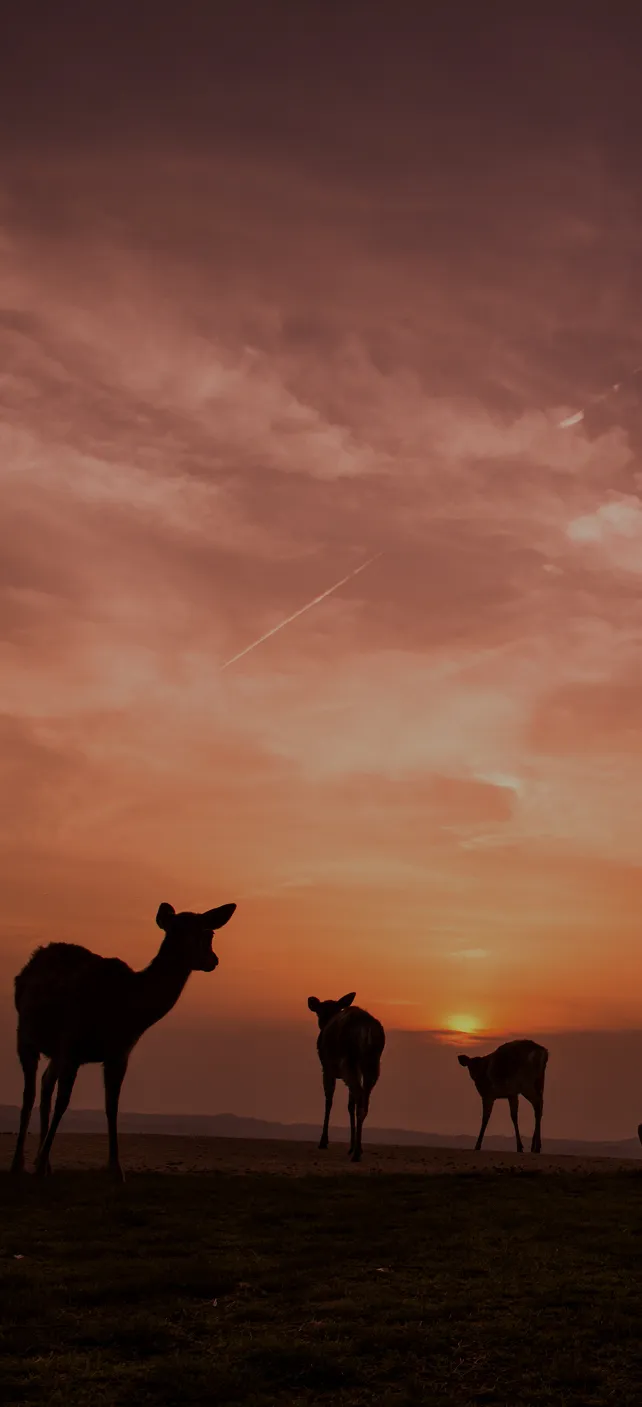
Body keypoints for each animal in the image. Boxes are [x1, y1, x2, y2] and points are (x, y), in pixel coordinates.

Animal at [11, 899, 236, 1181]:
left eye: (209, 933)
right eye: (177, 931)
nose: (213, 960)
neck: (127, 1010)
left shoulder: (119, 1054)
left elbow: (112, 1106)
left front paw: (116, 1170)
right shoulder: (72, 1042)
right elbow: (64, 1103)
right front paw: (39, 1165)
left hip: (54, 1052)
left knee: (44, 1085)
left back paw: (46, 1164)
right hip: (25, 1036)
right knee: (29, 1093)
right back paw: (19, 1164)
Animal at [307, 991, 385, 1163]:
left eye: (318, 1012)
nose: (321, 1023)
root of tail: (367, 1030)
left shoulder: (327, 1068)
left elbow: (329, 1101)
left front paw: (323, 1141)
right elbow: (350, 1105)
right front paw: (350, 1145)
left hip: (347, 1062)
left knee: (359, 1095)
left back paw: (356, 1153)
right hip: (372, 1064)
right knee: (364, 1100)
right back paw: (358, 1149)